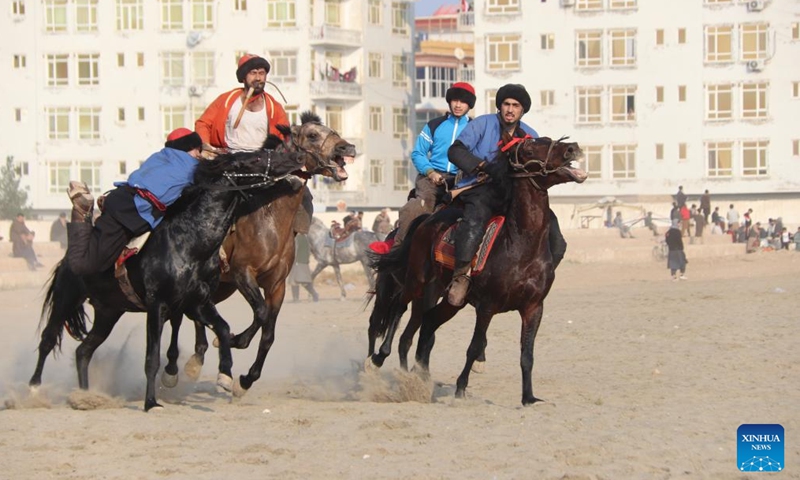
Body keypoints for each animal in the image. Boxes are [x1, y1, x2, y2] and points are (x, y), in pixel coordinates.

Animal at [28, 147, 304, 412]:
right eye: (254, 158)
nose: (296, 158)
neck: (189, 242)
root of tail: (67, 258)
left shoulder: (197, 303)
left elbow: (224, 328)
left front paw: (226, 374)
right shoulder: (157, 305)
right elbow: (152, 359)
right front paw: (151, 403)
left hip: (108, 312)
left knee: (83, 351)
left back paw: (84, 396)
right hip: (67, 298)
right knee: (48, 340)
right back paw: (34, 390)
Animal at [172, 110, 356, 396]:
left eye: (332, 130)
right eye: (313, 134)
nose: (347, 148)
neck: (268, 216)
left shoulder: (277, 284)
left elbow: (269, 332)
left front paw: (245, 380)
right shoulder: (242, 273)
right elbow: (260, 312)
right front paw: (232, 341)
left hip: (221, 286)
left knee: (199, 309)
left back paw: (197, 360)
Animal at [366, 137, 584, 404]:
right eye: (529, 149)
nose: (572, 148)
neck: (519, 245)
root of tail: (426, 222)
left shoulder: (534, 307)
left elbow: (527, 354)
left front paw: (529, 398)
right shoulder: (487, 306)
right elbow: (474, 346)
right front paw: (460, 388)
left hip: (450, 299)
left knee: (426, 325)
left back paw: (419, 378)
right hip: (417, 281)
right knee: (397, 311)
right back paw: (378, 359)